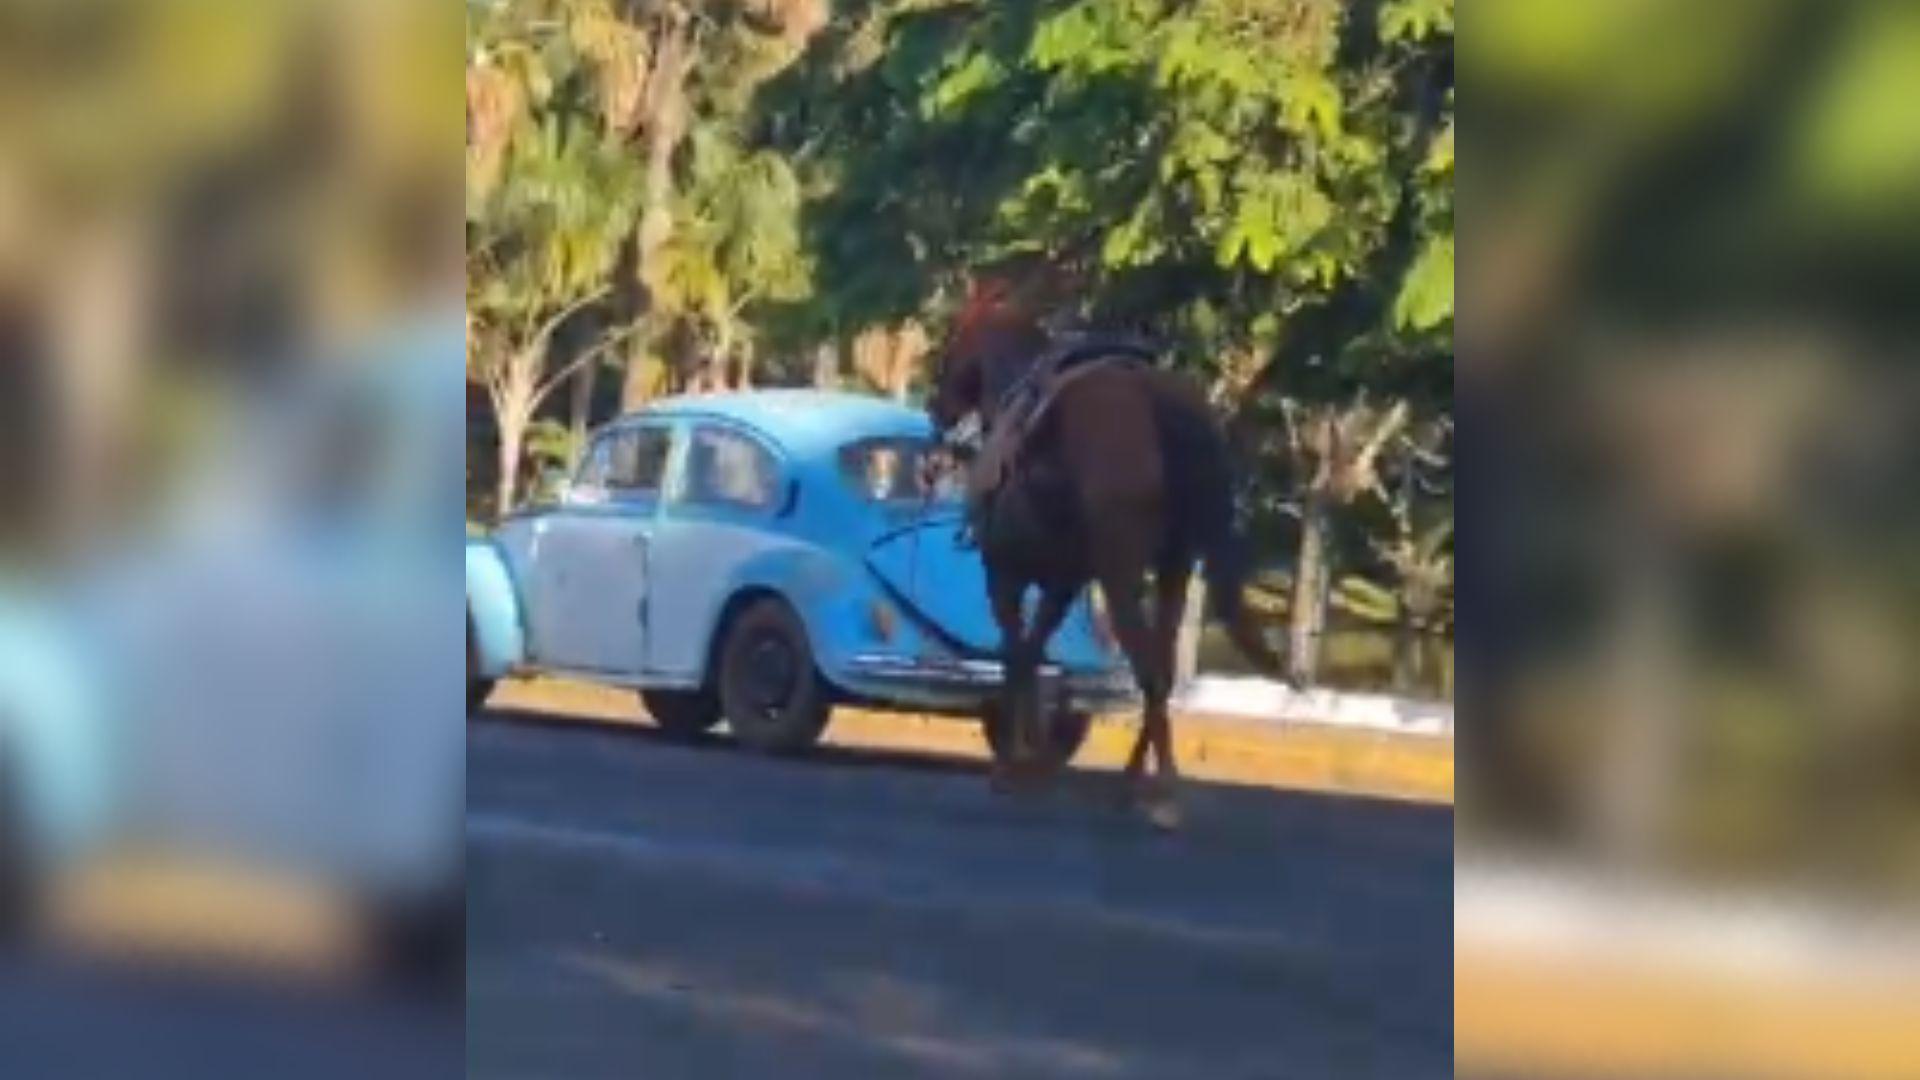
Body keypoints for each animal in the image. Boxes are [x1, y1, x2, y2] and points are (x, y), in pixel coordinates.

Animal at [921, 272, 1282, 818]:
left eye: (953, 337)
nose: (936, 409)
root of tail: (1159, 402)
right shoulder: (1063, 582)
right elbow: (1035, 649)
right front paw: (1036, 758)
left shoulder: (1003, 573)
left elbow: (1017, 653)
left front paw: (1013, 761)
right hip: (1173, 567)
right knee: (1162, 670)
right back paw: (1136, 779)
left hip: (1119, 571)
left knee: (1147, 668)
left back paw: (1162, 790)